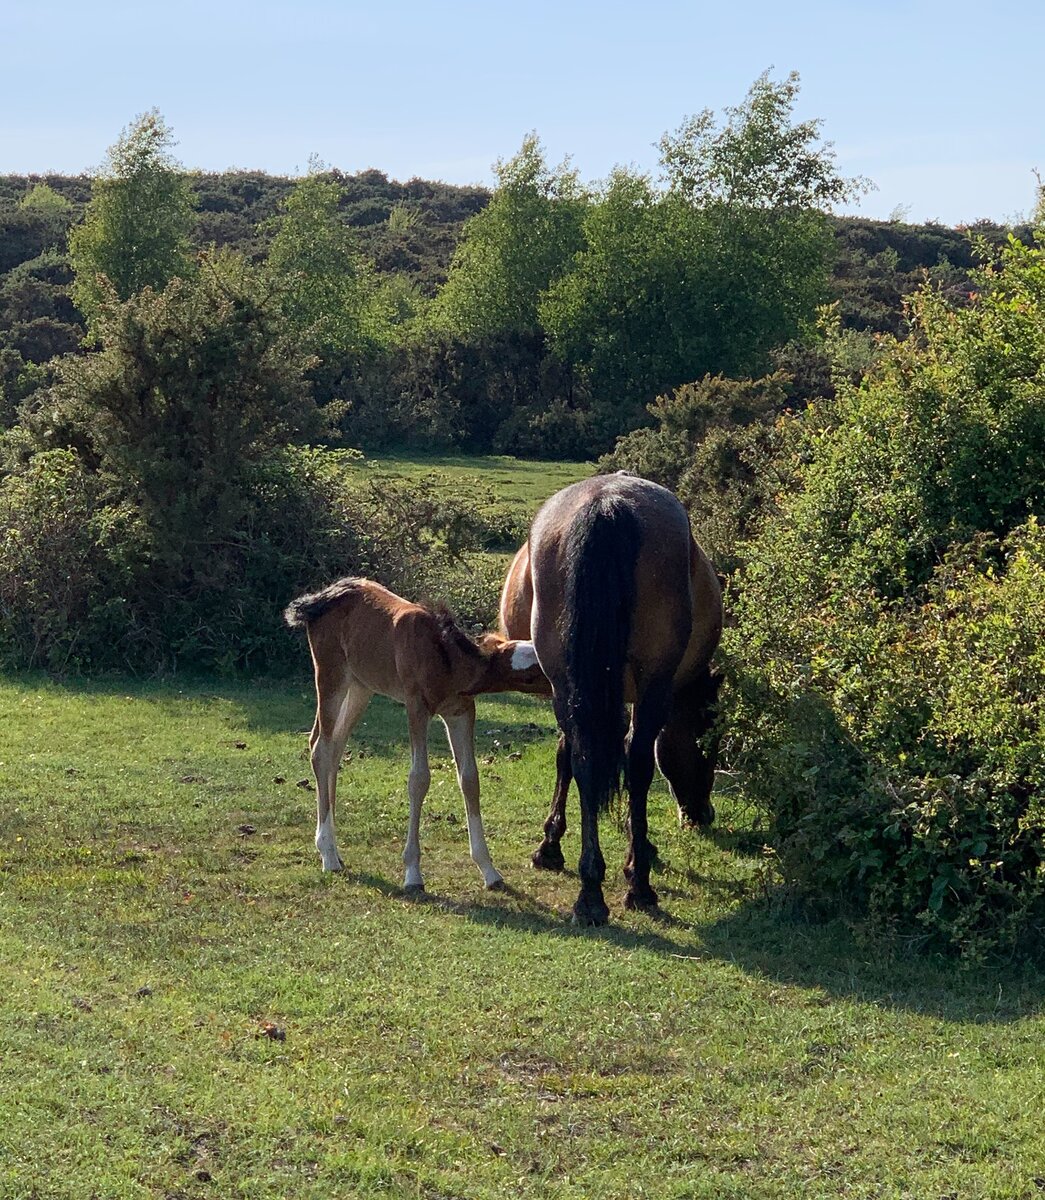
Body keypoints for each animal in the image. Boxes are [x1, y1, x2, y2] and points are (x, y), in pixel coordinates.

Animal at [285, 576, 547, 897]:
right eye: (531, 675)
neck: (447, 658)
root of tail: (320, 598)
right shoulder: (416, 708)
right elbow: (419, 779)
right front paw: (412, 873)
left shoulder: (460, 712)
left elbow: (470, 779)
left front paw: (489, 870)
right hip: (331, 676)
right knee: (321, 748)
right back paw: (328, 855)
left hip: (361, 686)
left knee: (333, 745)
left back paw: (332, 848)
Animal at [499, 472, 719, 921]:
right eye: (708, 742)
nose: (702, 814)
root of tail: (607, 503)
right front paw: (640, 847)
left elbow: (569, 756)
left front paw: (552, 845)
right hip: (646, 685)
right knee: (633, 762)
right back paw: (633, 884)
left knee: (591, 760)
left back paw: (593, 893)